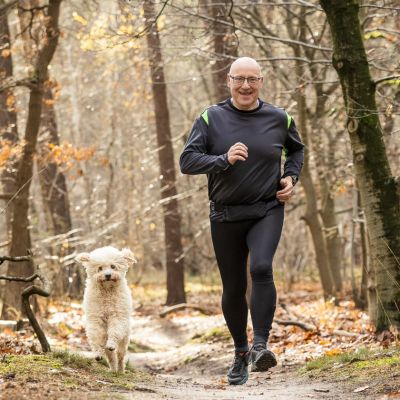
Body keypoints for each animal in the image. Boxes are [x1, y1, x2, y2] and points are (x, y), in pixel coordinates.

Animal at [75, 245, 136, 374]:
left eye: (113, 266)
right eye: (100, 268)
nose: (107, 275)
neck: (107, 290)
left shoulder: (117, 316)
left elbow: (115, 331)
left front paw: (112, 343)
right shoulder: (96, 318)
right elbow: (96, 335)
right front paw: (97, 353)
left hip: (124, 339)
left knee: (120, 356)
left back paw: (120, 370)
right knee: (111, 357)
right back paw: (112, 369)